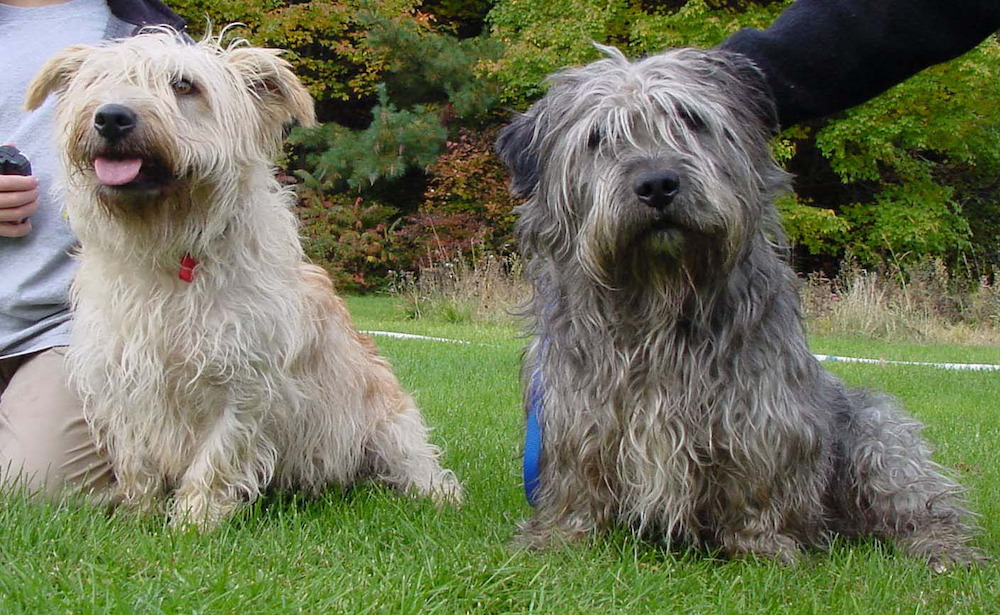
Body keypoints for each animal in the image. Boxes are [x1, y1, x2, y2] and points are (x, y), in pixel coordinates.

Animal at [24, 30, 460, 528]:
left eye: (184, 85)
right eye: (100, 80)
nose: (112, 117)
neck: (168, 250)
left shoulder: (247, 383)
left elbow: (217, 456)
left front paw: (193, 522)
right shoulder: (120, 378)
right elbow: (136, 459)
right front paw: (143, 515)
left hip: (390, 426)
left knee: (420, 467)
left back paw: (432, 494)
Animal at [496, 45, 980, 572]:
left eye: (691, 120)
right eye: (598, 138)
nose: (658, 184)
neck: (660, 299)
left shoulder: (763, 409)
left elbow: (758, 478)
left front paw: (761, 547)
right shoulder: (575, 407)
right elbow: (576, 475)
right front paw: (560, 537)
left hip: (877, 435)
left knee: (922, 504)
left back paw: (942, 549)